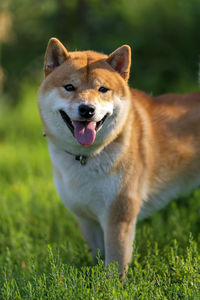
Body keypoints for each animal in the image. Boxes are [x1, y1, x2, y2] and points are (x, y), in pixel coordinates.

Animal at [38, 38, 200, 282]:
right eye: (69, 87)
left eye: (102, 89)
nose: (87, 109)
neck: (87, 157)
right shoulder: (87, 219)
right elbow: (98, 258)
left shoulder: (118, 218)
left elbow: (114, 266)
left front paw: (110, 287)